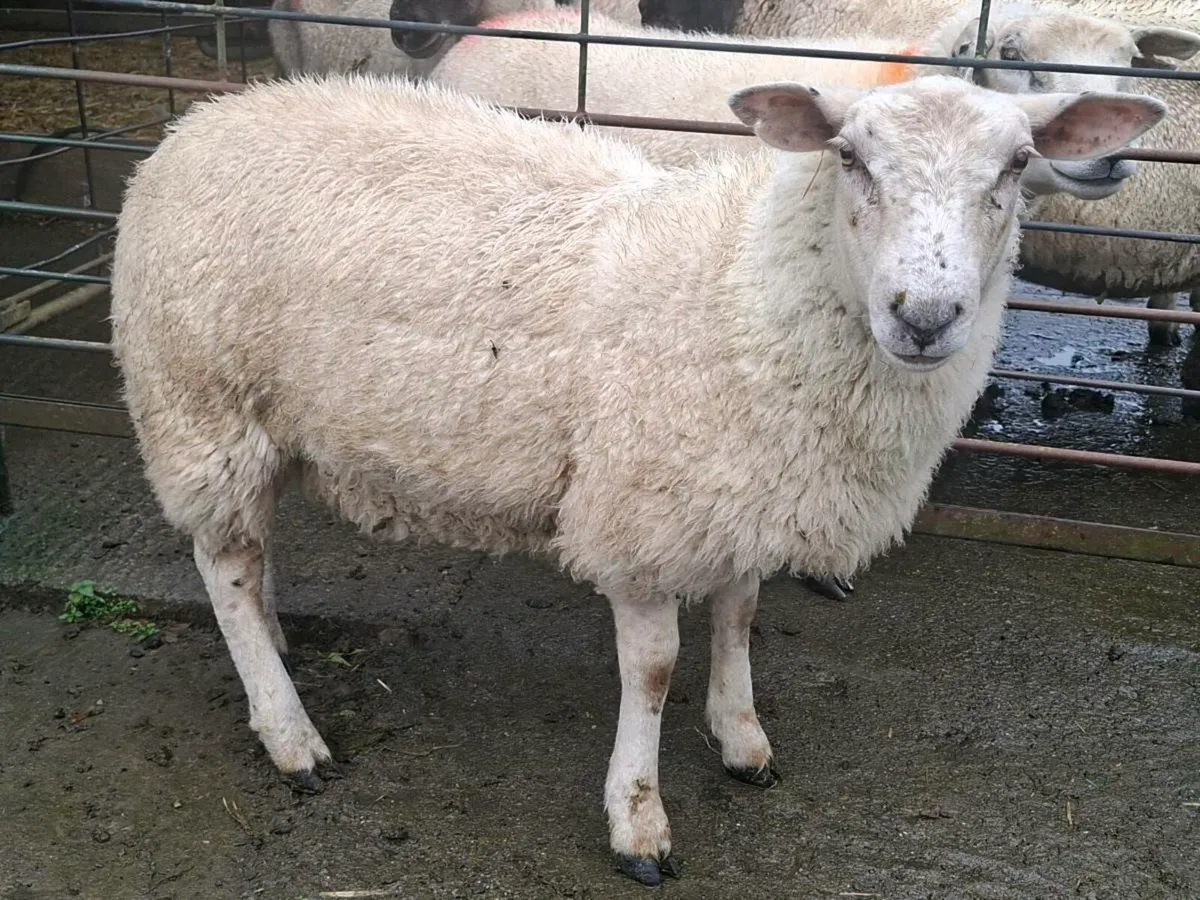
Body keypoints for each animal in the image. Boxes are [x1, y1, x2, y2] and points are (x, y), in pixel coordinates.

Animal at [109, 73, 1164, 884]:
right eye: (850, 157)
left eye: (1017, 165)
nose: (926, 315)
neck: (743, 289)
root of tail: (201, 120)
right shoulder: (643, 509)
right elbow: (653, 668)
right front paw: (639, 821)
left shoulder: (740, 487)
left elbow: (741, 615)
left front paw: (741, 737)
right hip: (201, 402)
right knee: (226, 566)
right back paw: (287, 730)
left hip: (257, 422)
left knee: (252, 551)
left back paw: (277, 649)